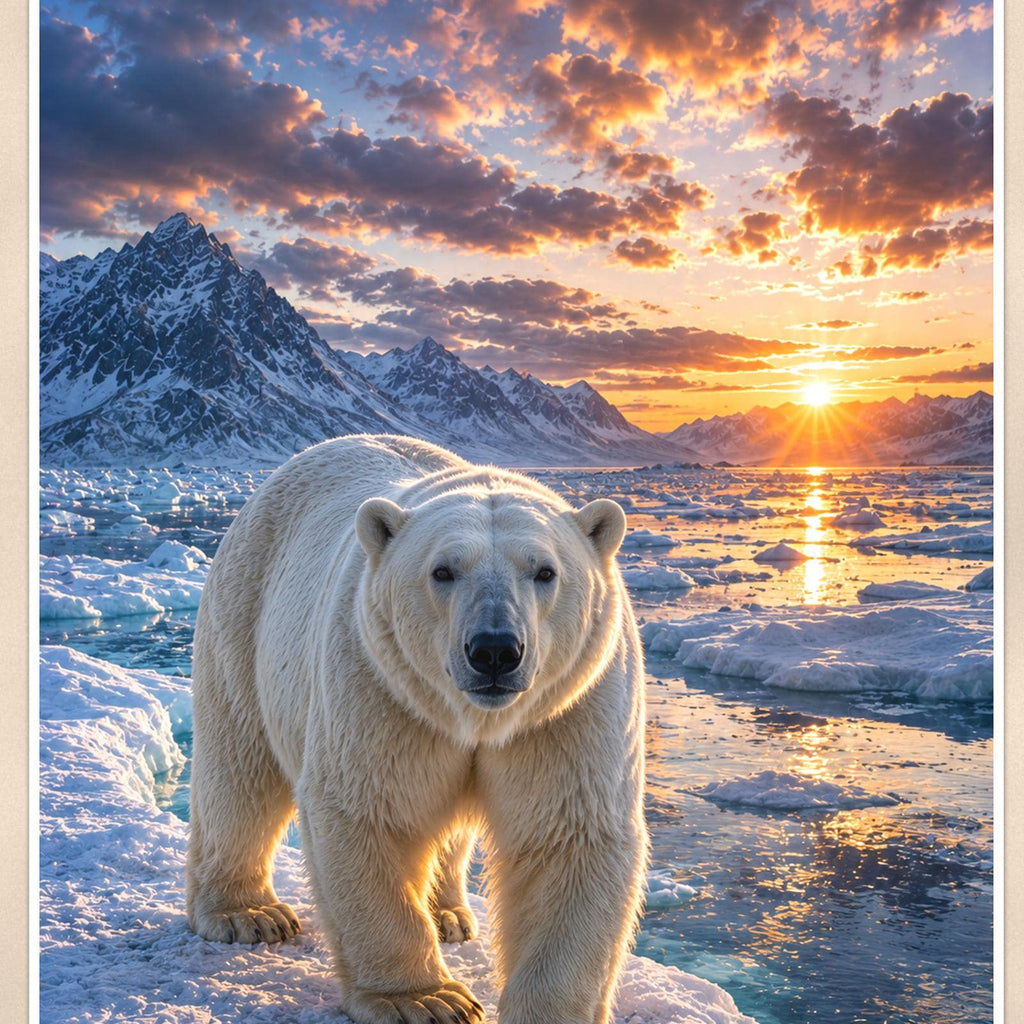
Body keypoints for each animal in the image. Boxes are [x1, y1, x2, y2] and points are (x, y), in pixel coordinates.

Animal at [186, 433, 648, 1024]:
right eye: (442, 571)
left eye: (545, 571)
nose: (494, 650)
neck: (475, 716)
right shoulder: (380, 685)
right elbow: (371, 811)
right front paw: (427, 999)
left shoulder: (568, 708)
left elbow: (569, 836)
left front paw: (547, 1010)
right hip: (246, 611)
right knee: (241, 769)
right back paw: (248, 913)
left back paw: (449, 913)